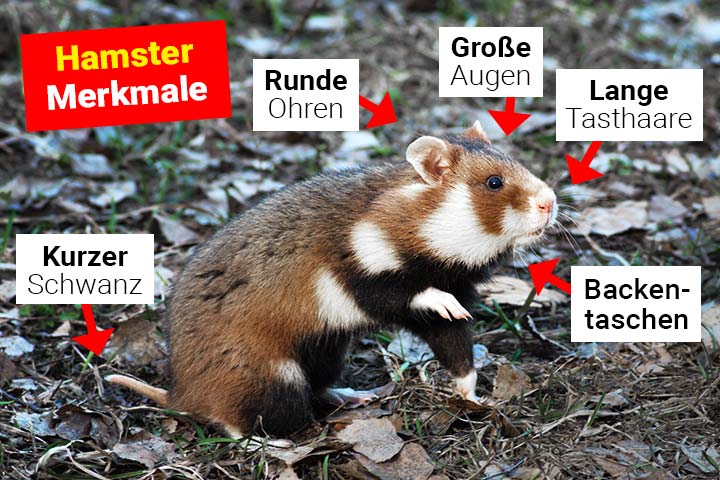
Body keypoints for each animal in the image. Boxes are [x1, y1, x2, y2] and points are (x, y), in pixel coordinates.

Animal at [107, 120, 557, 439]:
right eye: (494, 182)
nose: (550, 202)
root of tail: (178, 393)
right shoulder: (363, 273)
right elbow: (413, 294)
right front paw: (445, 304)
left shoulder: (441, 313)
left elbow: (460, 354)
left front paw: (474, 398)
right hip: (273, 377)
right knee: (235, 422)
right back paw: (274, 442)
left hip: (326, 351)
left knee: (318, 389)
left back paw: (356, 396)